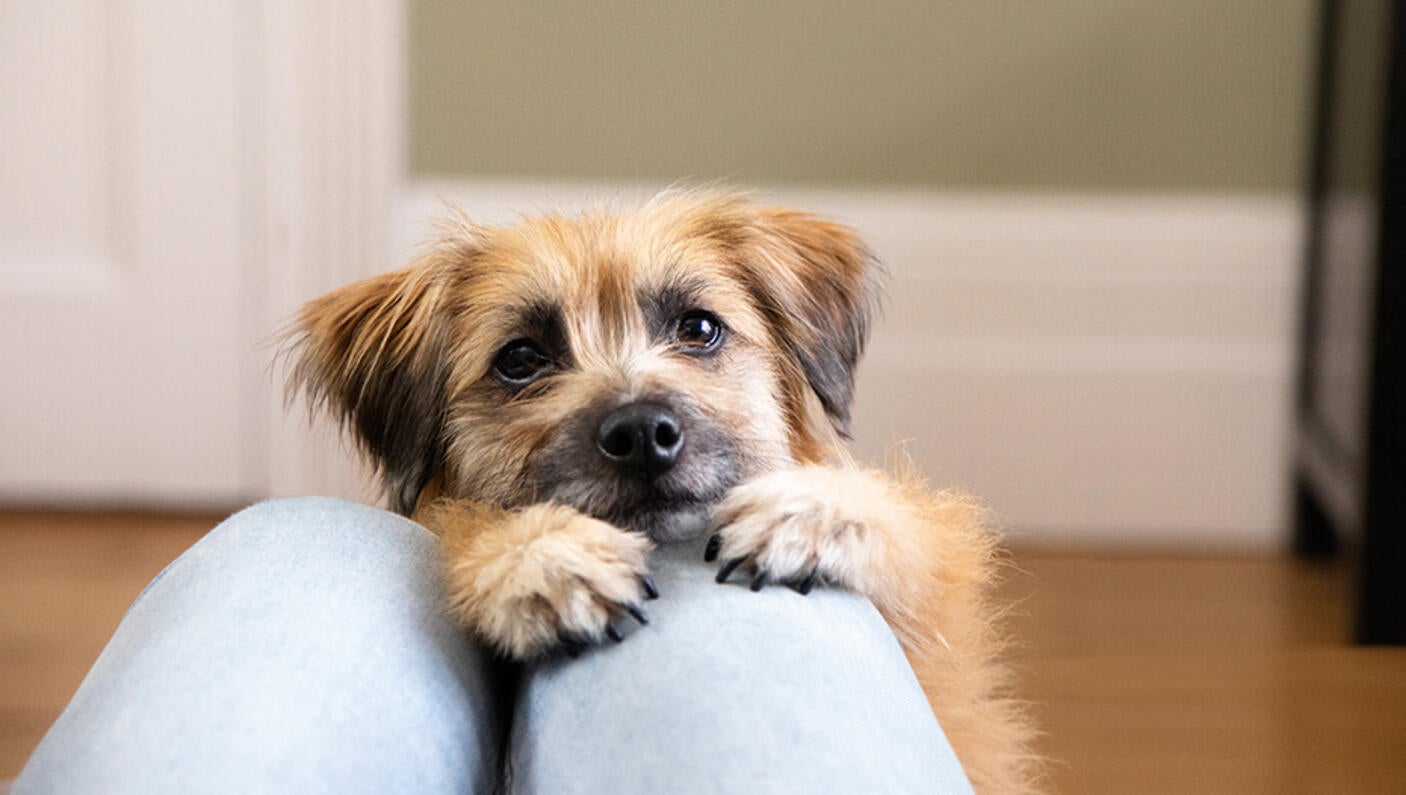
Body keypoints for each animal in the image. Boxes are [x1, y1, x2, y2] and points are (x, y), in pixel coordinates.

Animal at [285, 189, 1040, 787]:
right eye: (521, 359)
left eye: (699, 328)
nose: (643, 432)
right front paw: (541, 556)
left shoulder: (946, 629)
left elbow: (914, 530)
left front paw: (810, 510)